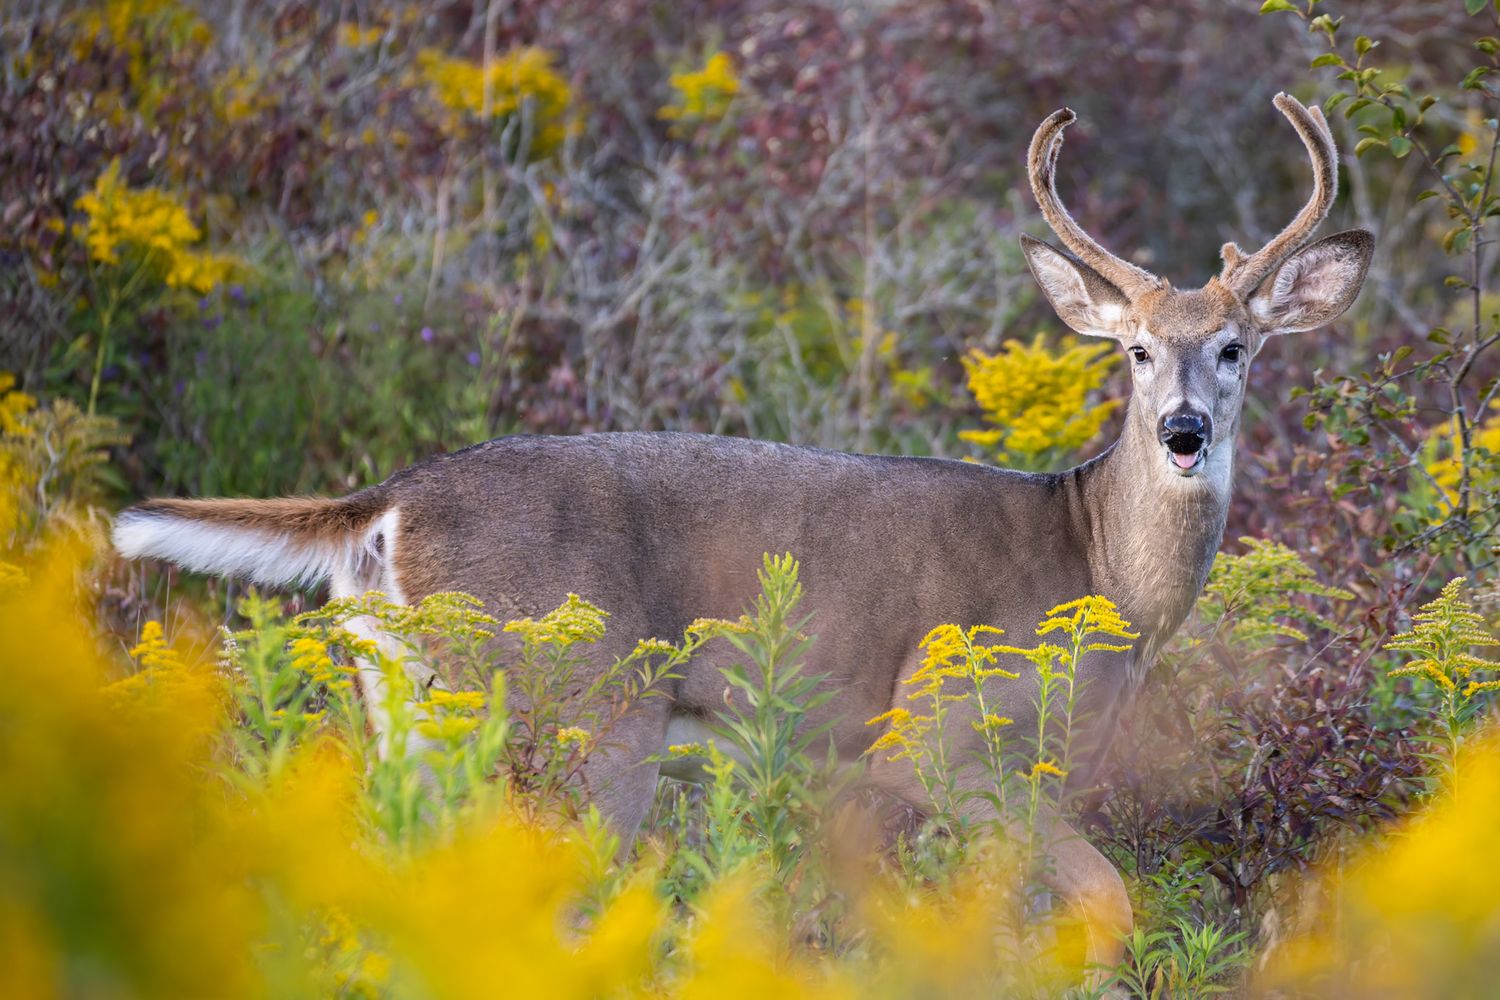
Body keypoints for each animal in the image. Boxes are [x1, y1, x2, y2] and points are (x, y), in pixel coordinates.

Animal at [112, 93, 1371, 975]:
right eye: (1137, 350)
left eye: (1236, 347)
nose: (1183, 431)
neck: (1099, 567)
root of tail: (389, 501)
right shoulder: (937, 733)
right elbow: (1100, 901)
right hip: (587, 713)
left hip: (405, 703)